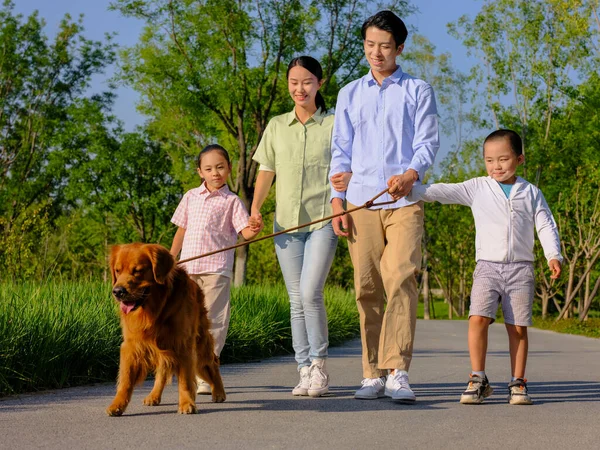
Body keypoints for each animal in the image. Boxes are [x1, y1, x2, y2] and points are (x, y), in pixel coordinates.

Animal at [106, 243, 226, 414]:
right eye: (117, 270)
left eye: (138, 270)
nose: (117, 291)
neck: (155, 308)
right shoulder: (131, 345)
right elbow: (126, 380)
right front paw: (117, 405)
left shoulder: (183, 343)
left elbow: (185, 380)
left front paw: (186, 403)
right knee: (162, 372)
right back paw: (154, 396)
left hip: (200, 342)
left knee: (213, 362)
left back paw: (218, 392)